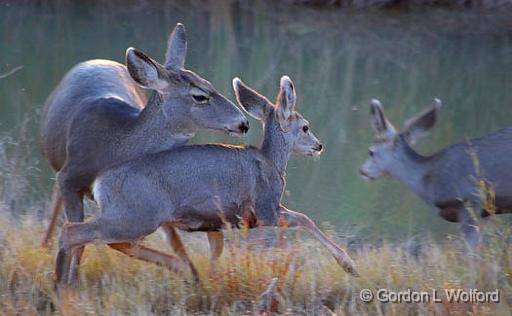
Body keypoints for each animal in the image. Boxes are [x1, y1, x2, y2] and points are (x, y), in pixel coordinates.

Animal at [39, 22, 248, 284]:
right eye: (200, 95)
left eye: (210, 83)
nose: (243, 123)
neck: (112, 148)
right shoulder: (70, 178)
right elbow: (78, 238)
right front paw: (66, 283)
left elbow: (173, 241)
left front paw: (192, 275)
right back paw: (46, 249)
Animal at [56, 75, 358, 286]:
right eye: (305, 127)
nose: (318, 146)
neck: (272, 163)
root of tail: (100, 184)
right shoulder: (265, 209)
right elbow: (305, 219)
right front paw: (349, 265)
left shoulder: (217, 221)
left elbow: (217, 252)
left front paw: (211, 285)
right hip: (136, 215)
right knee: (74, 232)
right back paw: (63, 287)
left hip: (133, 217)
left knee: (108, 240)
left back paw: (183, 270)